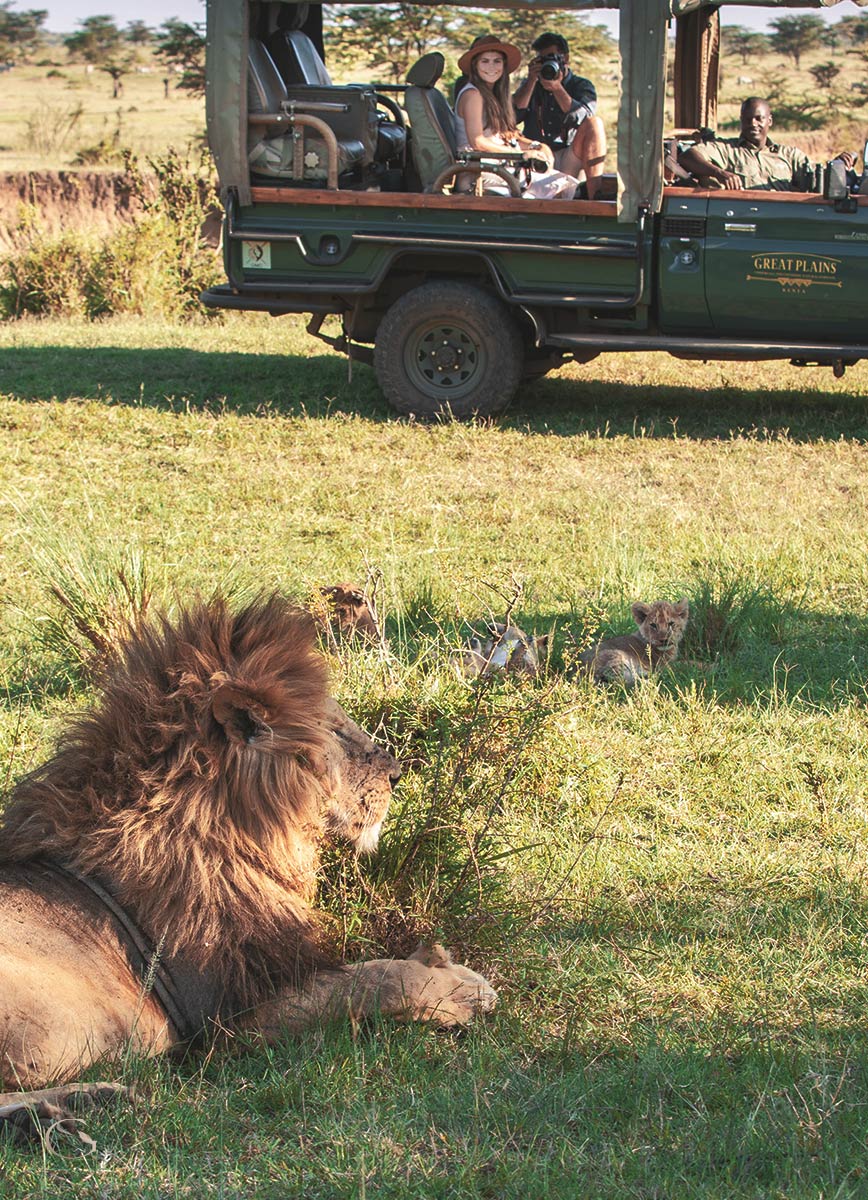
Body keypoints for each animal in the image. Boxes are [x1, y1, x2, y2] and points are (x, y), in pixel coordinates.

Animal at [0, 597, 494, 1132]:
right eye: (336, 731)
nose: (398, 774)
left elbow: (373, 967)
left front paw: (440, 961)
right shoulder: (227, 1018)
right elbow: (374, 980)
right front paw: (464, 987)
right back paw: (76, 1104)